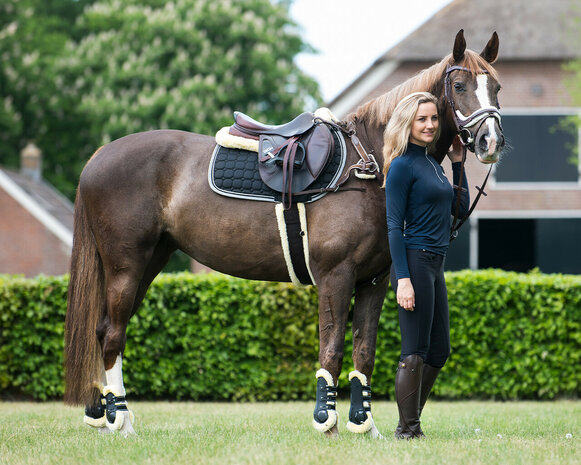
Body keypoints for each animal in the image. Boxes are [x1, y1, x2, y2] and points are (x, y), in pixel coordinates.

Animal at [63, 29, 502, 436]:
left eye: (495, 87)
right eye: (459, 87)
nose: (490, 141)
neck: (369, 167)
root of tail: (99, 156)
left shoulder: (374, 281)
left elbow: (364, 352)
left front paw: (366, 425)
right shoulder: (336, 276)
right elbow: (331, 350)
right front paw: (327, 421)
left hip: (148, 262)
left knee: (103, 329)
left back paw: (101, 413)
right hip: (127, 266)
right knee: (112, 334)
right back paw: (121, 422)